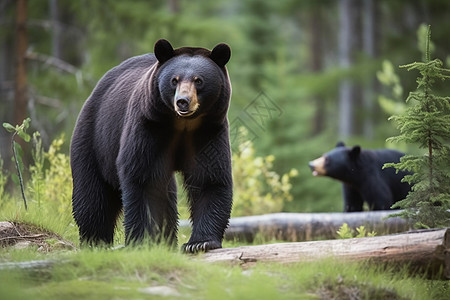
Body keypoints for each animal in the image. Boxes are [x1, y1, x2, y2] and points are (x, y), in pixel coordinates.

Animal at [71, 38, 232, 252]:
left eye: (199, 80)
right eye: (174, 80)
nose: (182, 102)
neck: (183, 124)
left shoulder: (208, 132)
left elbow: (210, 178)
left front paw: (199, 243)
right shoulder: (149, 126)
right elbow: (143, 178)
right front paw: (143, 241)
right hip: (94, 141)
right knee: (92, 198)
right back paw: (94, 242)